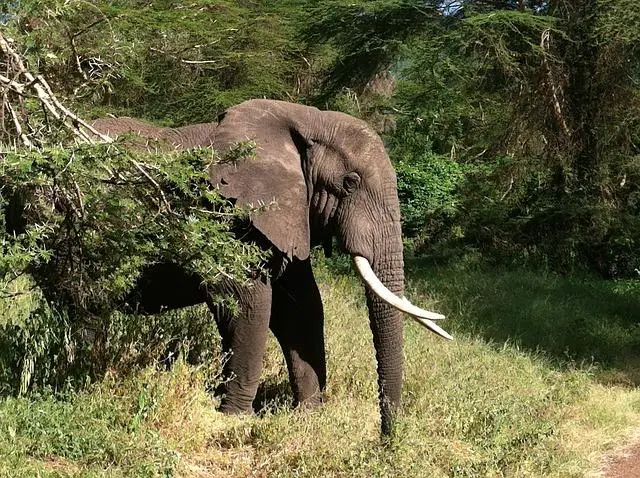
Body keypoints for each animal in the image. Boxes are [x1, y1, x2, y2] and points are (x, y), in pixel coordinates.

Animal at [90, 101, 452, 436]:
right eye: (350, 182)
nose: (386, 440)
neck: (305, 118)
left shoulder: (289, 214)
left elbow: (302, 308)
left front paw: (309, 417)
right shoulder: (226, 213)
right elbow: (250, 302)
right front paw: (235, 419)